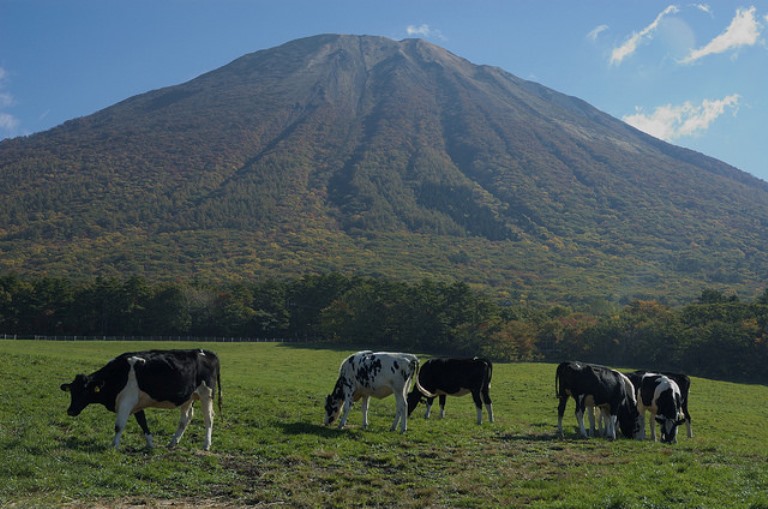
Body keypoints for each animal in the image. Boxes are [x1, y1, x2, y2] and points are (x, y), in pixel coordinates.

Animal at [60, 350, 222, 448]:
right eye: (72, 391)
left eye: (84, 391)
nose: (70, 411)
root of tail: (208, 353)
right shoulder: (136, 403)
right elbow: (143, 423)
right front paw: (150, 444)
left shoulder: (126, 401)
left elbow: (119, 426)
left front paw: (114, 445)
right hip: (188, 398)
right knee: (186, 418)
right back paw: (173, 442)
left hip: (206, 394)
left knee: (209, 418)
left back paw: (206, 445)